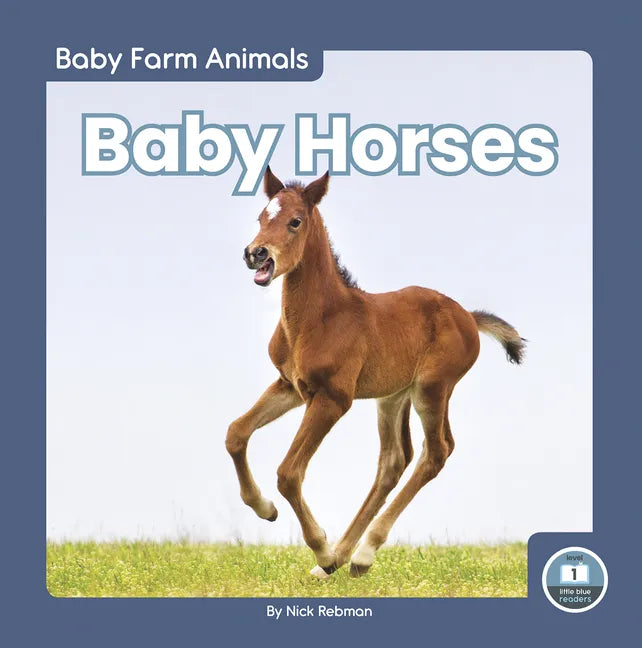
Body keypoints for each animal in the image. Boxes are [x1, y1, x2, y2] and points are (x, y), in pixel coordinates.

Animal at [225, 167, 525, 578]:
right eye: (261, 217)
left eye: (295, 221)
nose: (255, 253)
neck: (318, 319)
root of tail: (468, 315)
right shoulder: (289, 386)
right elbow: (236, 433)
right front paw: (265, 509)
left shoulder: (334, 398)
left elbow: (288, 473)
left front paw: (320, 547)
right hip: (392, 396)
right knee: (394, 460)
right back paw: (341, 558)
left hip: (432, 388)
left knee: (437, 451)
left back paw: (359, 554)